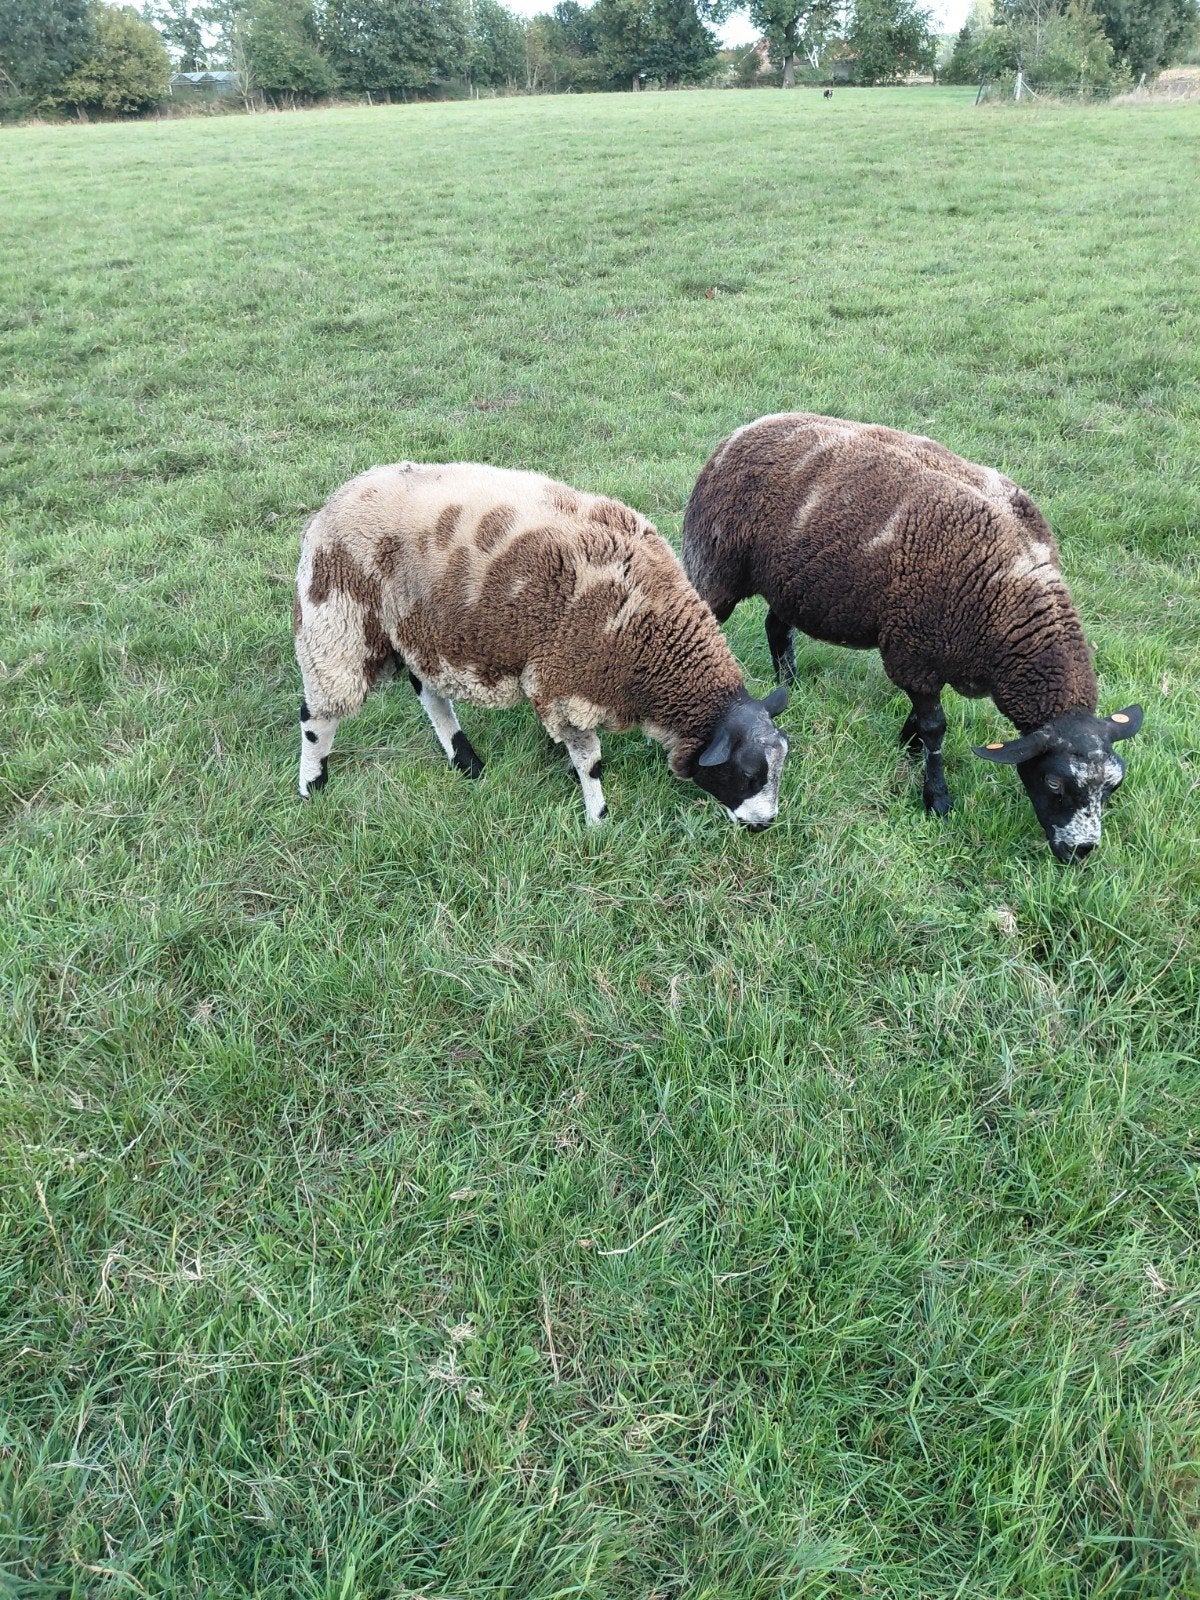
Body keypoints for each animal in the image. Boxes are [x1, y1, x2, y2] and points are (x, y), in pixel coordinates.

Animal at [293, 462, 790, 827]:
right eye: (748, 773)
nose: (765, 824)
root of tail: (338, 498)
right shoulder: (566, 686)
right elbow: (591, 762)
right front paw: (598, 818)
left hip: (421, 633)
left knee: (431, 696)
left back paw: (467, 762)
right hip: (337, 622)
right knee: (317, 714)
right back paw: (312, 785)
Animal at [681, 413, 1143, 862]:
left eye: (1113, 786)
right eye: (1054, 784)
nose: (1081, 853)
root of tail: (746, 429)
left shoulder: (941, 651)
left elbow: (926, 717)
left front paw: (908, 742)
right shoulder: (913, 650)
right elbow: (937, 727)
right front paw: (936, 796)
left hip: (790, 582)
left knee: (777, 628)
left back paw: (790, 686)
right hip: (716, 563)